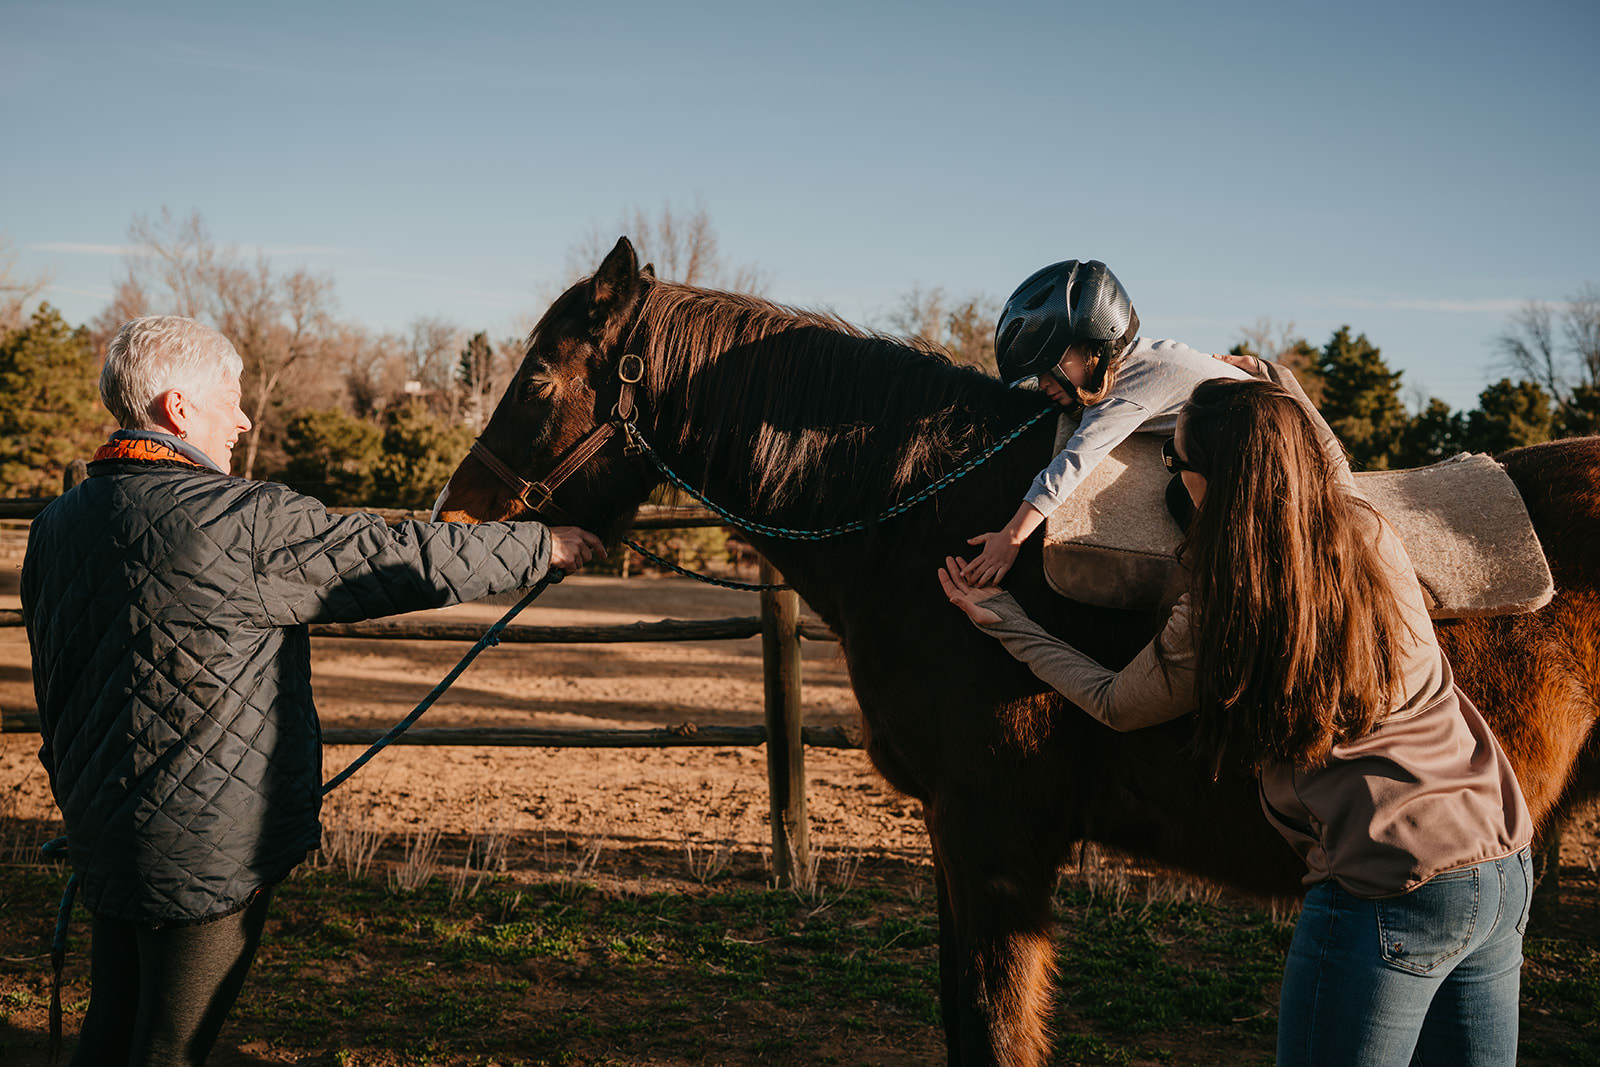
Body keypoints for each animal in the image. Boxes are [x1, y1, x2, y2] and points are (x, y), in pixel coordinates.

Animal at [435, 237, 1600, 1066]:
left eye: (537, 381)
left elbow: (995, 1028)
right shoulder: (954, 835)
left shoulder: (994, 832)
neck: (920, 516)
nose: (456, 515)